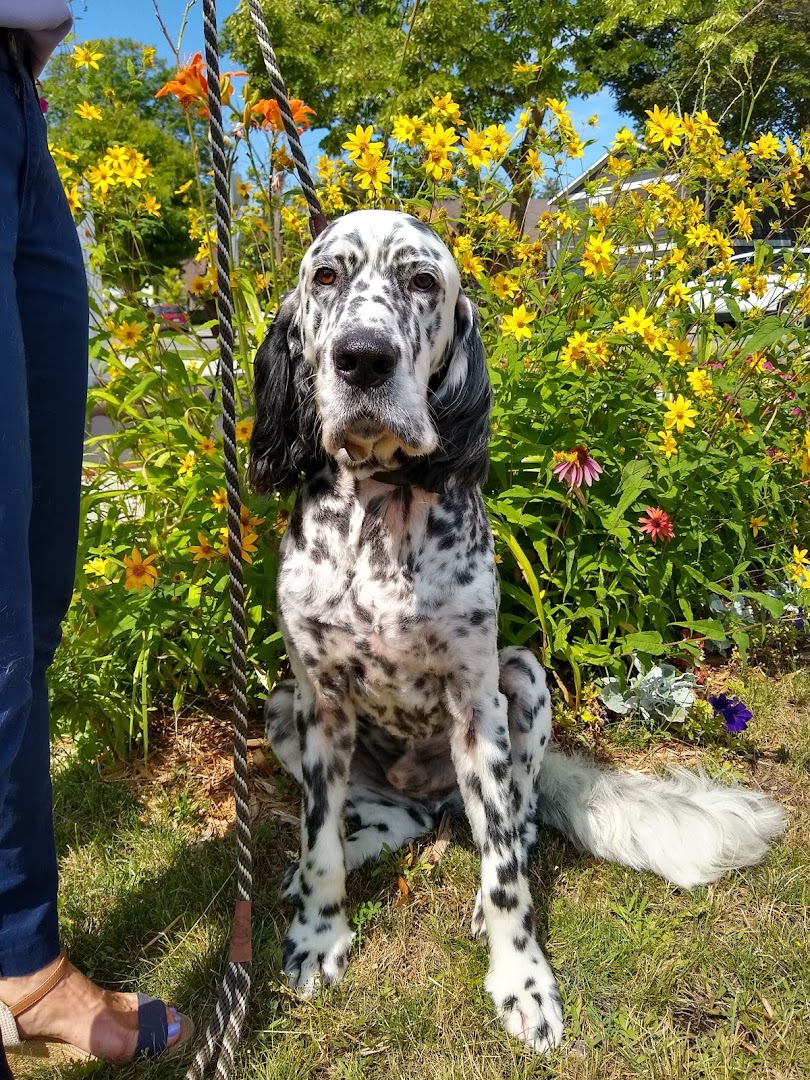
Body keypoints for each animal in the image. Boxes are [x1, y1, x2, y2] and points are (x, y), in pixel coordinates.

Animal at [250, 210, 790, 1054]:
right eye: (325, 277)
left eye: (422, 281)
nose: (363, 358)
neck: (377, 520)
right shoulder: (321, 704)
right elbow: (319, 838)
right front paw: (318, 932)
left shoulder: (479, 708)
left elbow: (506, 870)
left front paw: (522, 982)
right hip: (284, 708)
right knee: (392, 818)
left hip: (524, 680)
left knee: (517, 821)